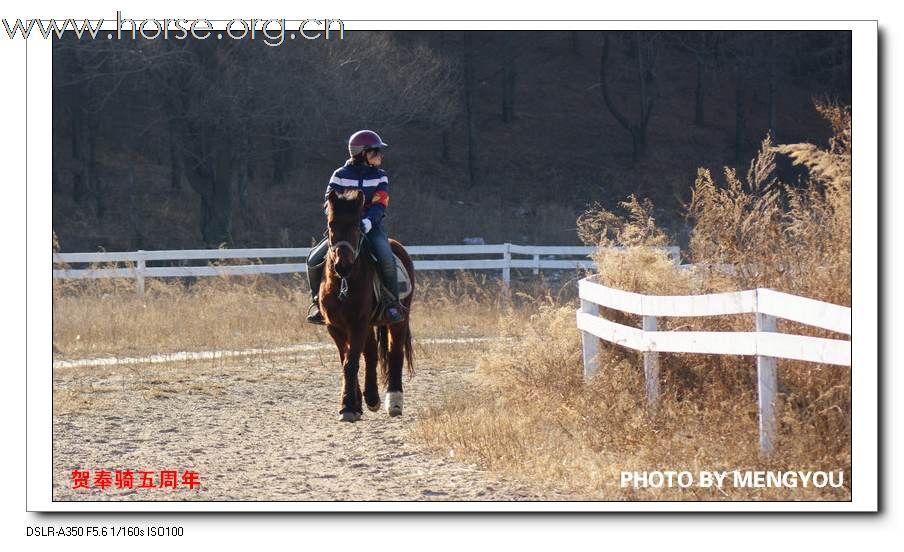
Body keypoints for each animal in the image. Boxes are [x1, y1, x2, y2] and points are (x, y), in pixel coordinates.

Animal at [320, 189, 414, 422]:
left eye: (356, 226)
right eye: (331, 225)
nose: (342, 266)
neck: (344, 283)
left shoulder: (358, 323)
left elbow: (351, 362)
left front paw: (348, 407)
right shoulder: (335, 326)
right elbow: (347, 361)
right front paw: (352, 405)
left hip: (398, 320)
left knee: (395, 353)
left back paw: (394, 402)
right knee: (371, 354)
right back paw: (371, 398)